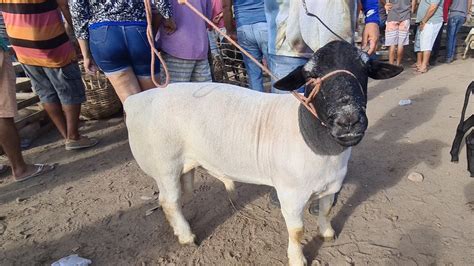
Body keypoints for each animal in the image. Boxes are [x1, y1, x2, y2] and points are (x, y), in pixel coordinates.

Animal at [124, 40, 402, 264]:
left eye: (365, 69)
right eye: (310, 76)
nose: (348, 120)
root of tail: (134, 101)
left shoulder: (331, 186)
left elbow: (325, 211)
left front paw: (327, 234)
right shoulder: (291, 194)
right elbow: (297, 230)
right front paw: (297, 259)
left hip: (183, 163)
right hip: (164, 163)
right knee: (168, 201)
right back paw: (186, 236)